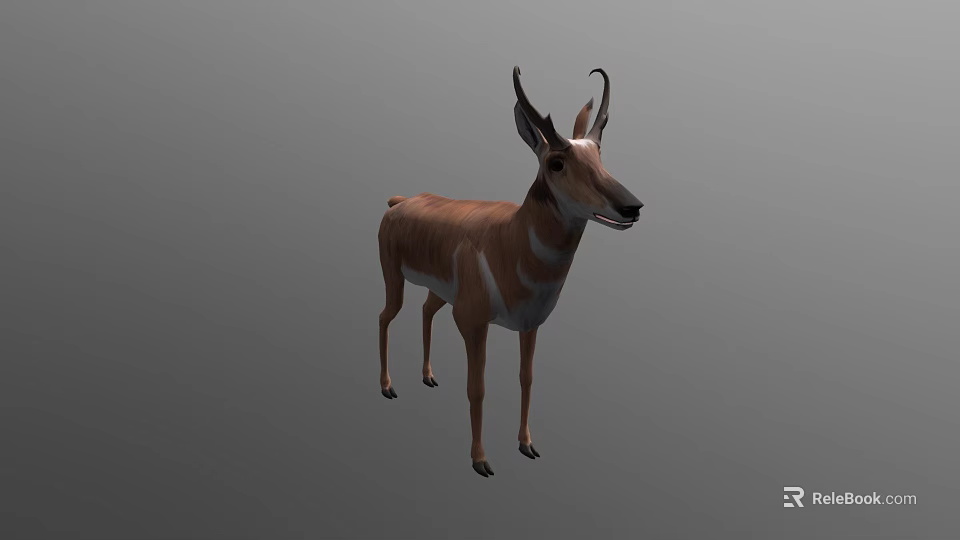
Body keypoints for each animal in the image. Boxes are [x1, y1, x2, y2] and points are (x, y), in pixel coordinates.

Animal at [377, 66, 644, 477]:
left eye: (599, 153)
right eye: (556, 162)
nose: (632, 206)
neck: (510, 242)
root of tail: (399, 202)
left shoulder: (529, 324)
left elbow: (526, 379)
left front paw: (527, 446)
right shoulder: (472, 322)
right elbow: (477, 387)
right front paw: (481, 461)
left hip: (439, 292)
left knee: (424, 311)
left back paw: (429, 377)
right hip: (394, 277)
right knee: (385, 316)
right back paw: (388, 387)